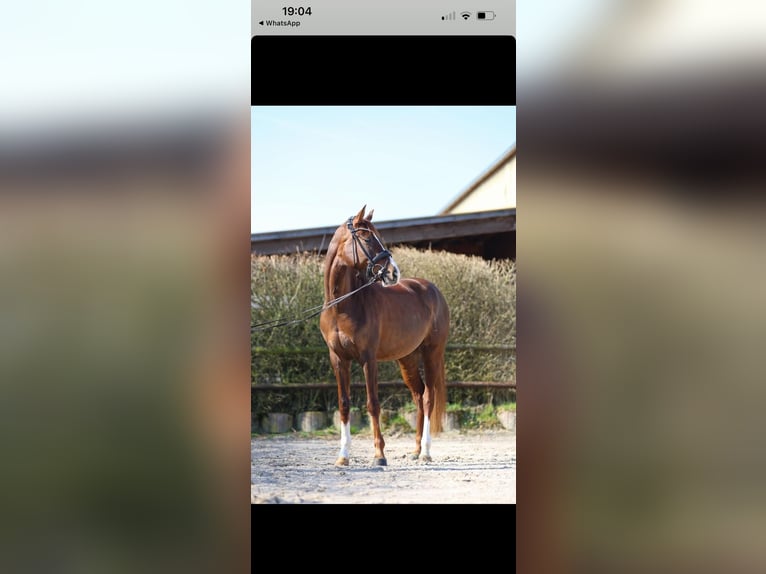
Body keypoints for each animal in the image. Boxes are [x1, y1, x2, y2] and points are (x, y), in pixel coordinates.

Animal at [319, 206, 450, 466]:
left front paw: (379, 455)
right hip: (407, 358)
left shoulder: (368, 359)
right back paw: (416, 450)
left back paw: (426, 452)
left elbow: (373, 404)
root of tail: (434, 291)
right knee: (418, 395)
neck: (342, 306)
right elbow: (344, 404)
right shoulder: (338, 359)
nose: (393, 273)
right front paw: (343, 456)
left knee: (429, 397)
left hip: (432, 352)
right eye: (367, 238)